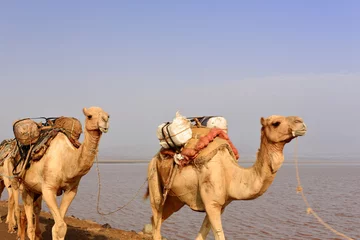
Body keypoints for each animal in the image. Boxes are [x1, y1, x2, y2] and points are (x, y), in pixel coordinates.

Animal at [15, 107, 108, 240]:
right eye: (89, 116)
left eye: (108, 116)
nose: (105, 122)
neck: (67, 159)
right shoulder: (48, 189)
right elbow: (59, 226)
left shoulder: (71, 190)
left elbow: (62, 226)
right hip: (24, 185)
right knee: (30, 225)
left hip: (35, 189)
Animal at [146, 115, 306, 239]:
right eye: (276, 123)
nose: (301, 122)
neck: (231, 174)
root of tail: (157, 154)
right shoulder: (212, 203)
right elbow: (219, 234)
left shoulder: (220, 205)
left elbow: (201, 235)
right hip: (153, 175)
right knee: (156, 213)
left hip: (176, 198)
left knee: (156, 219)